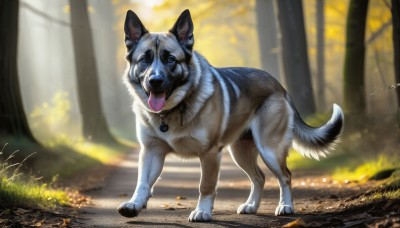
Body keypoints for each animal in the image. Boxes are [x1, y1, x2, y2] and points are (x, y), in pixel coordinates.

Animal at [118, 9, 344, 223]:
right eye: (144, 59)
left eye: (170, 59)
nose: (154, 81)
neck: (173, 110)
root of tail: (279, 86)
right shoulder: (151, 151)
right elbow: (142, 183)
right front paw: (135, 204)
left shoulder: (209, 153)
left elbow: (205, 186)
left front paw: (202, 211)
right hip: (240, 152)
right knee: (259, 177)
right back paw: (251, 205)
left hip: (269, 149)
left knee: (285, 176)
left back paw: (285, 206)